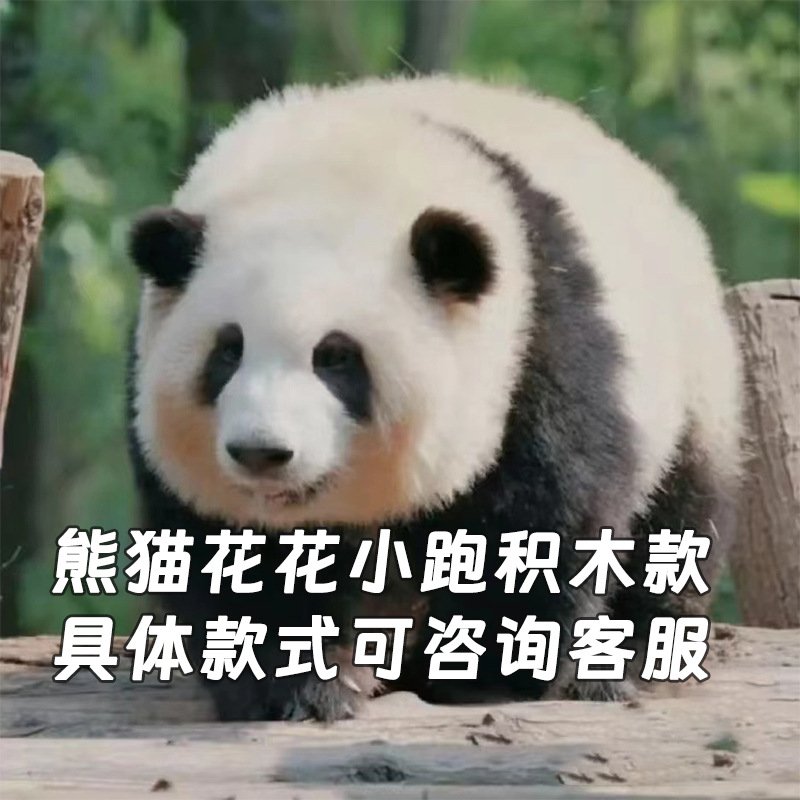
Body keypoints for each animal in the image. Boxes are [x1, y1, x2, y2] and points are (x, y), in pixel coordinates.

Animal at [126, 75, 743, 722]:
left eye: (336, 357)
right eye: (228, 351)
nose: (261, 452)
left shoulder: (537, 347)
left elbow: (541, 519)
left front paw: (490, 672)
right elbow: (229, 560)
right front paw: (299, 684)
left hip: (691, 379)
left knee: (680, 517)